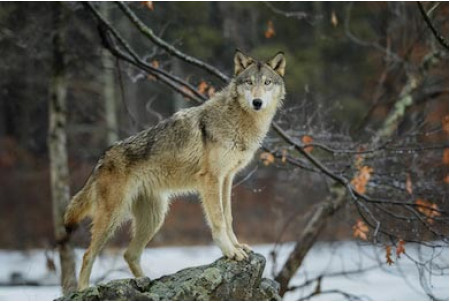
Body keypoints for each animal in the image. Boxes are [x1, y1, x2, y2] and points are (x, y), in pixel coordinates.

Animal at [64, 50, 284, 290]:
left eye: (267, 83)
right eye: (249, 83)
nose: (257, 102)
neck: (238, 120)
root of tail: (101, 158)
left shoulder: (227, 178)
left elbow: (228, 217)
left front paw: (237, 246)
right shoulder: (210, 179)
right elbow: (218, 220)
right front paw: (230, 252)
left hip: (155, 218)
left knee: (129, 254)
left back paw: (144, 283)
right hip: (113, 218)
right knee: (87, 254)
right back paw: (84, 290)